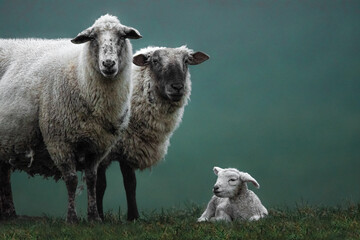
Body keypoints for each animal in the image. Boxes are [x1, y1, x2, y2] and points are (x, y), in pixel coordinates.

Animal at [0, 14, 141, 222]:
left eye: (122, 37)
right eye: (93, 38)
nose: (108, 64)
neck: (80, 76)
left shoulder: (98, 146)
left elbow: (92, 179)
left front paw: (94, 217)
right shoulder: (59, 141)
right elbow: (72, 179)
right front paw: (72, 218)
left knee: (4, 174)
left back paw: (9, 214)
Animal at [95, 46, 210, 220]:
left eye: (186, 61)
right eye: (155, 61)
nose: (177, 87)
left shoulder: (129, 146)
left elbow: (130, 183)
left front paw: (133, 217)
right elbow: (100, 185)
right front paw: (99, 217)